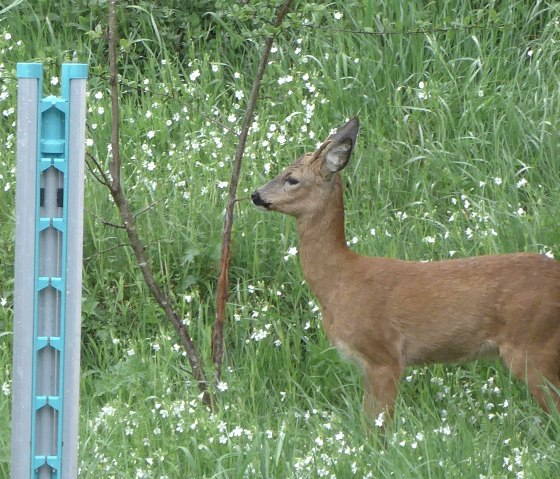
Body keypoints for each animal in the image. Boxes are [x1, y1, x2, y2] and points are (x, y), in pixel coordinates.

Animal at [252, 118, 560, 426]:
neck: (339, 282)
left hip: (533, 343)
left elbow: (377, 426)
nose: (256, 195)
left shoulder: (384, 354)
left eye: (291, 178)